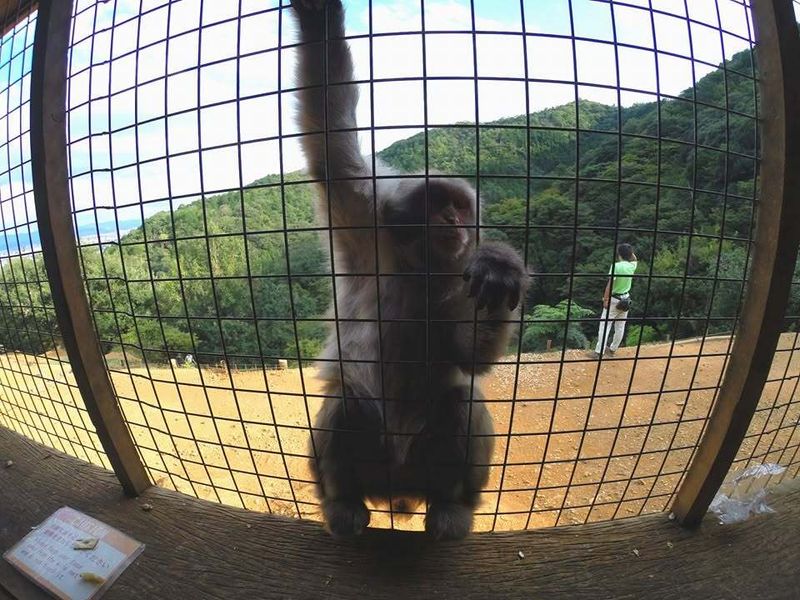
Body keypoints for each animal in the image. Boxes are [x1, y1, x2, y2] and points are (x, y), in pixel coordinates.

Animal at [290, 0, 529, 540]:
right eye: (437, 205)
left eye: (460, 208)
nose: (452, 222)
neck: (415, 268)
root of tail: (399, 491)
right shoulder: (364, 218)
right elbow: (330, 140)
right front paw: (318, 18)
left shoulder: (454, 282)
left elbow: (469, 356)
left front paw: (500, 267)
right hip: (375, 463)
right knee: (348, 402)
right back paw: (343, 501)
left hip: (423, 468)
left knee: (460, 401)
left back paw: (451, 506)